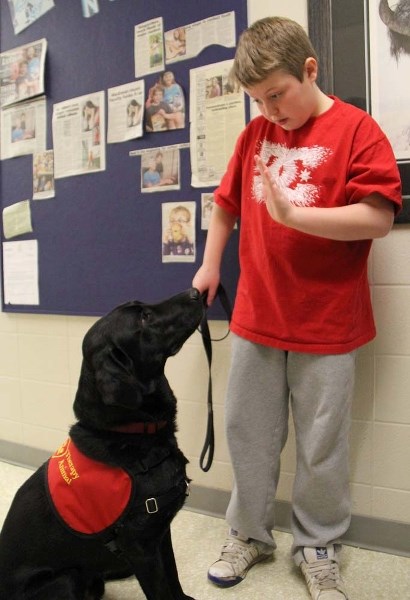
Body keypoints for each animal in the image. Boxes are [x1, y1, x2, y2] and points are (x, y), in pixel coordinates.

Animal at [0, 288, 204, 596]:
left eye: (144, 307)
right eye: (144, 318)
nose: (196, 292)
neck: (130, 434)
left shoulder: (160, 532)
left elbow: (173, 578)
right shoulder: (141, 545)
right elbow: (161, 588)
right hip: (65, 579)